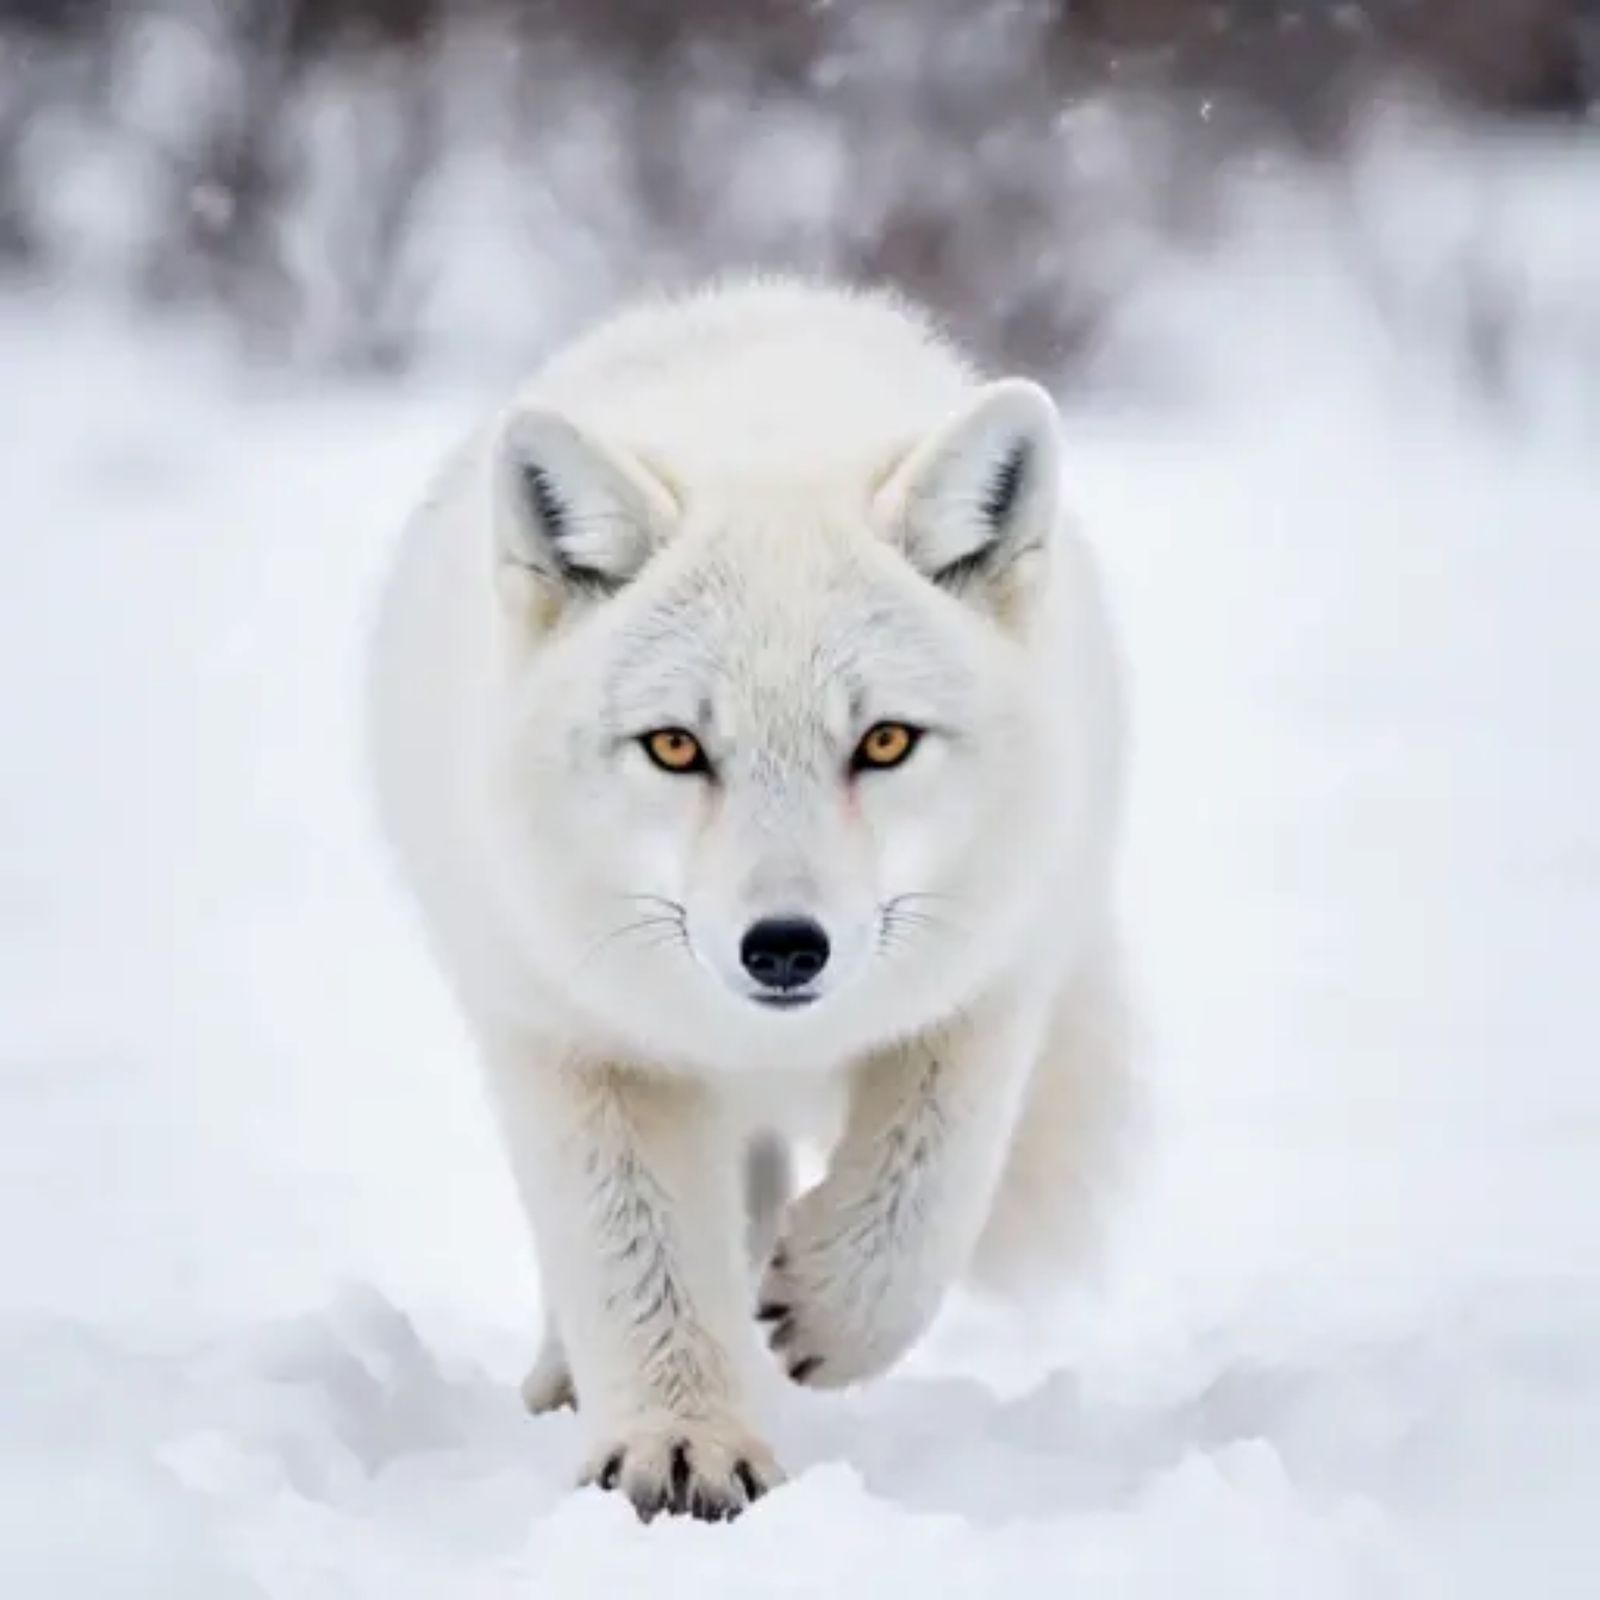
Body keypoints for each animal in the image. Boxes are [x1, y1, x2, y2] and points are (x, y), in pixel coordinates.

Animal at [366, 277, 1129, 1522]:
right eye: (676, 746)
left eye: (884, 741)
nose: (783, 949)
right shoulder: (573, 1041)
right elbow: (638, 1263)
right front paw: (678, 1449)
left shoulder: (990, 985)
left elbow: (921, 1196)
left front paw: (823, 1309)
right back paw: (571, 1375)